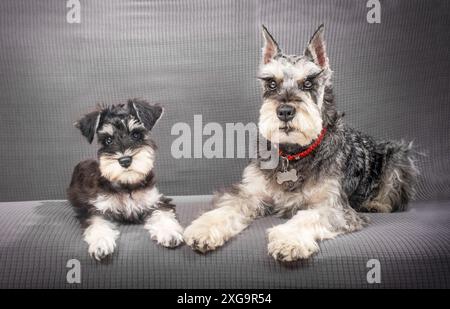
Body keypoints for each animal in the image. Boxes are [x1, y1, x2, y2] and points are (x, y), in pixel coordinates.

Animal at [67, 98, 184, 260]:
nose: (125, 160)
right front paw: (101, 243)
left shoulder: (156, 201)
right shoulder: (95, 209)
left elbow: (163, 214)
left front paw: (169, 232)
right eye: (108, 140)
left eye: (136, 134)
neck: (127, 184)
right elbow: (97, 223)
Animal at [183, 25, 418, 260]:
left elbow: (309, 217)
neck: (292, 154)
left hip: (399, 159)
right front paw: (203, 229)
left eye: (308, 83)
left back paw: (375, 203)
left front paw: (288, 241)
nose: (285, 111)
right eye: (271, 83)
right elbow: (227, 208)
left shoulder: (333, 206)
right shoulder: (250, 193)